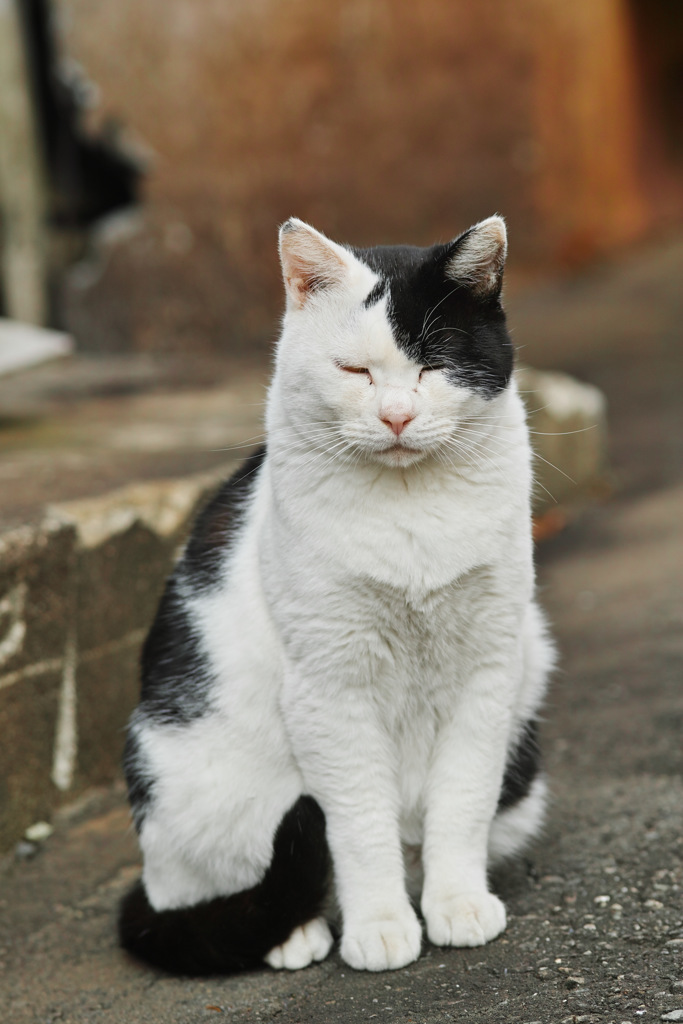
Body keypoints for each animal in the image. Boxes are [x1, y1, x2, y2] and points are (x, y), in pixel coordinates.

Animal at [117, 216, 557, 974]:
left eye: (432, 366)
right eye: (355, 372)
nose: (396, 416)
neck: (409, 510)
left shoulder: (489, 669)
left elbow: (462, 801)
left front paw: (457, 903)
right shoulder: (330, 688)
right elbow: (355, 823)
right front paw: (379, 925)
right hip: (193, 780)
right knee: (220, 892)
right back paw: (296, 933)